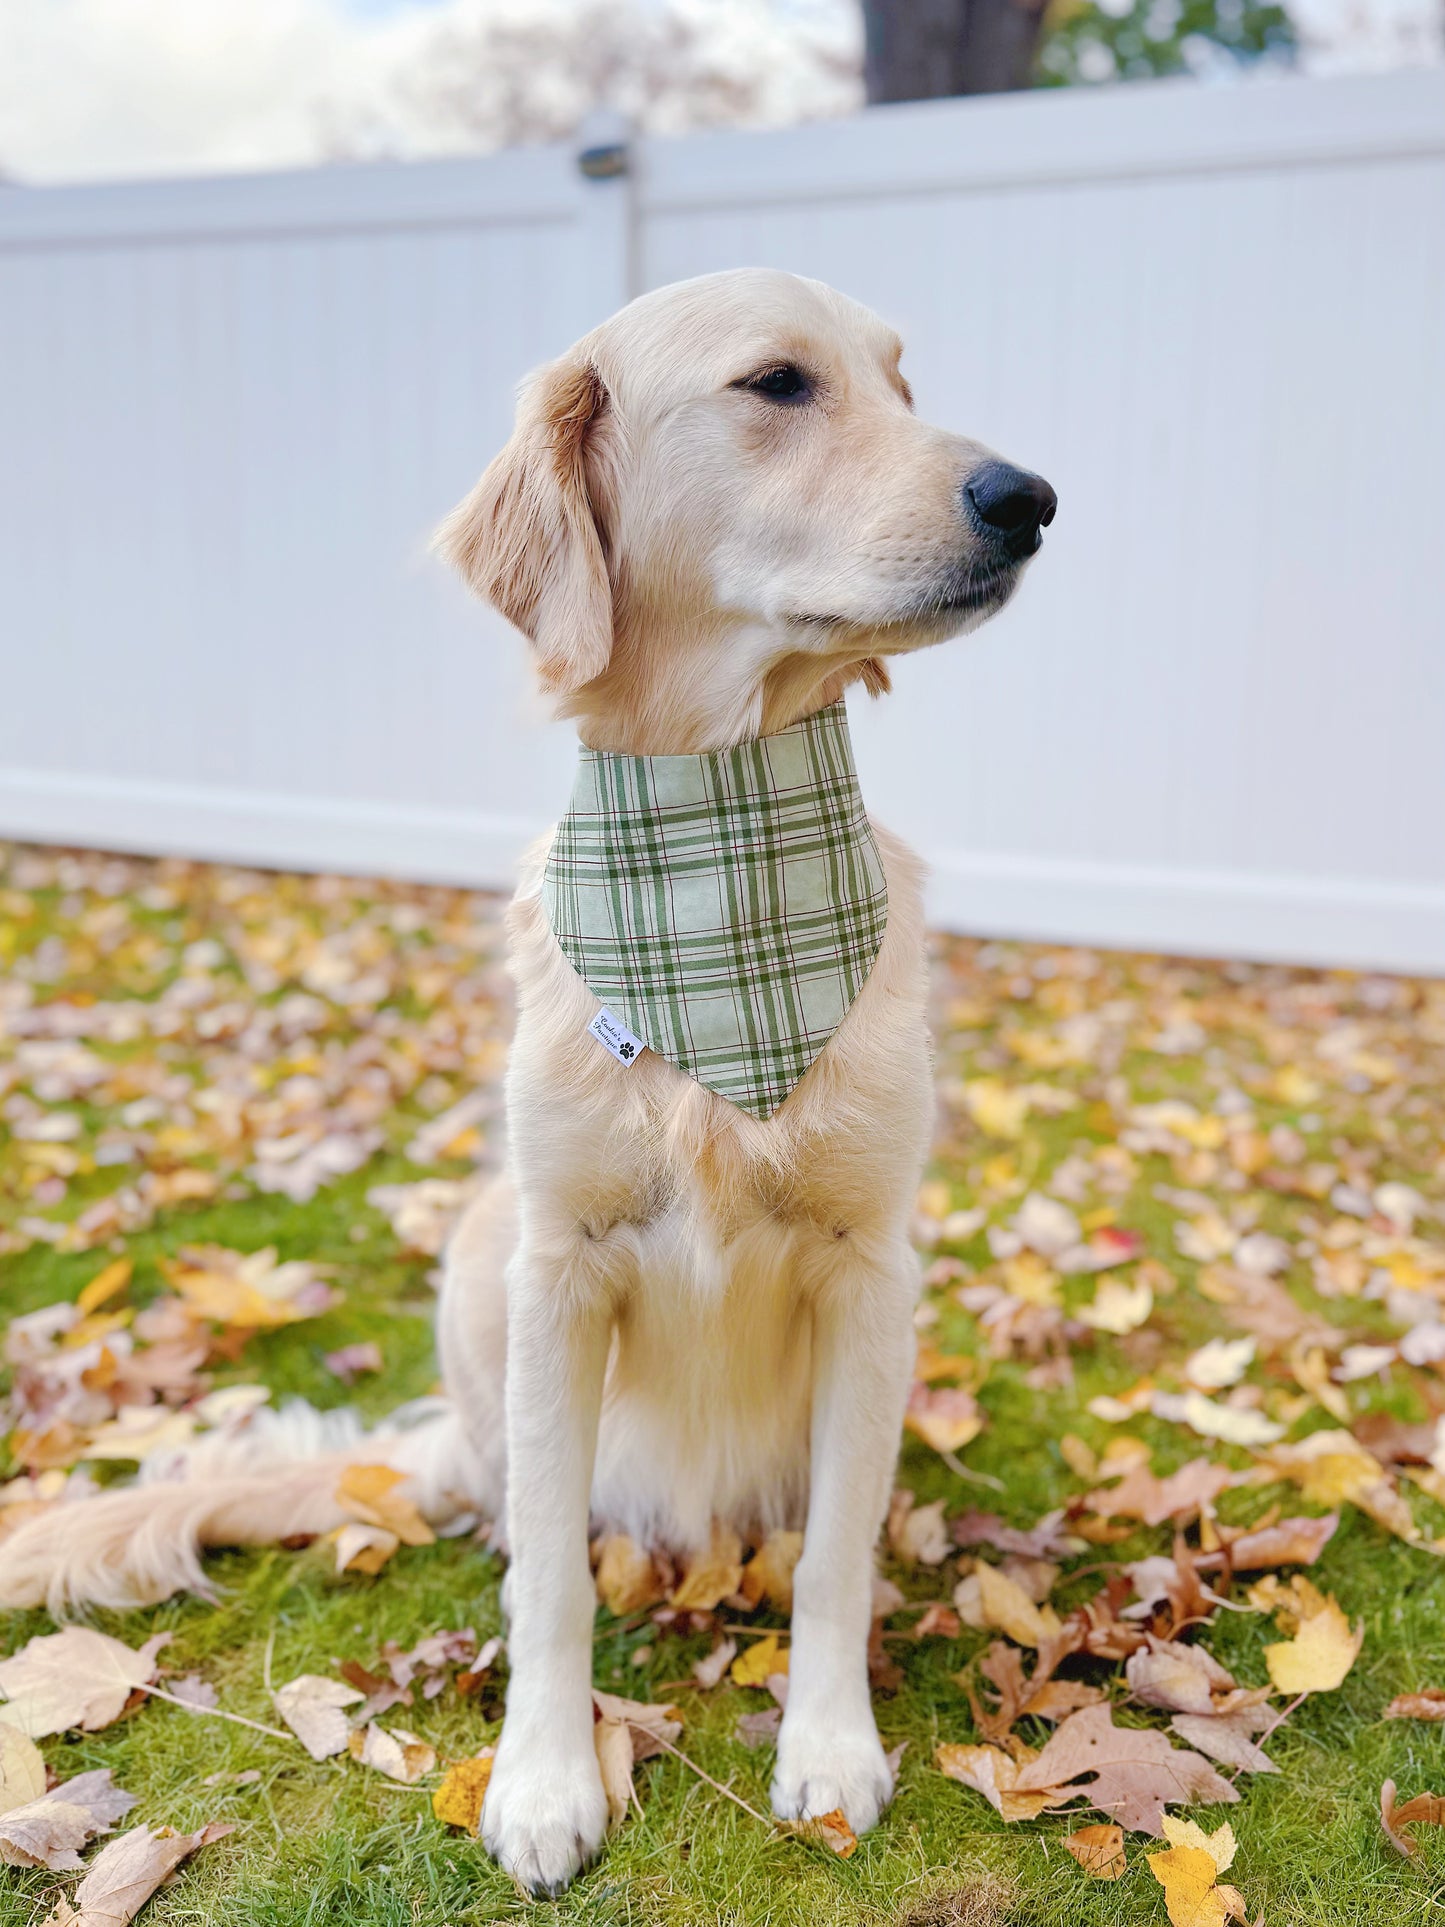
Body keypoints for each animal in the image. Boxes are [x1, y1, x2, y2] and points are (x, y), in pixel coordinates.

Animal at [0, 267, 1055, 1896]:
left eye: (899, 382)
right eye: (777, 383)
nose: (1030, 497)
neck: (715, 854)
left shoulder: (871, 1263)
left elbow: (833, 1557)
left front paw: (826, 1747)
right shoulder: (560, 1264)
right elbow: (552, 1579)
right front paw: (547, 1777)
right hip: (478, 1251)